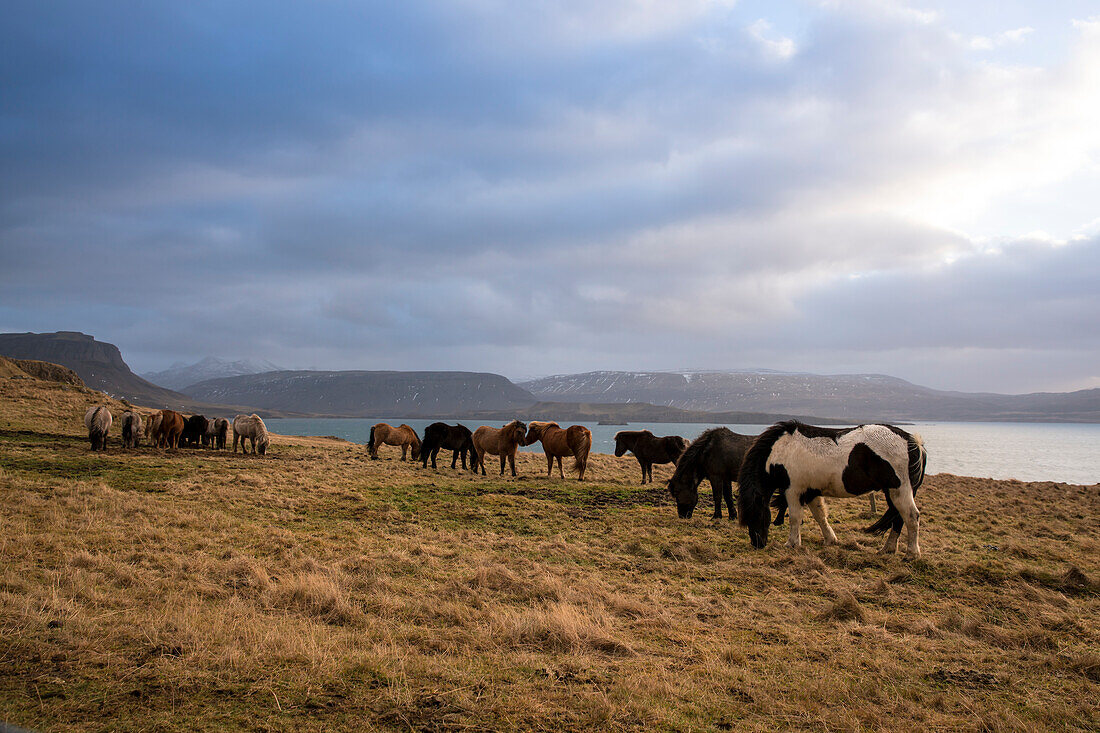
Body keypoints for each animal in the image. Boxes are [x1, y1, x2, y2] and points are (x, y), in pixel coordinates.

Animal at [739, 420, 928, 556]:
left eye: (756, 515)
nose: (757, 544)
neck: (782, 450)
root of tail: (912, 441)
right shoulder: (811, 492)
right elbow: (820, 516)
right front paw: (830, 540)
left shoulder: (793, 491)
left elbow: (794, 517)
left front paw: (792, 543)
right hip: (892, 492)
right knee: (898, 518)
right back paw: (887, 549)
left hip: (899, 490)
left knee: (911, 516)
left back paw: (912, 554)